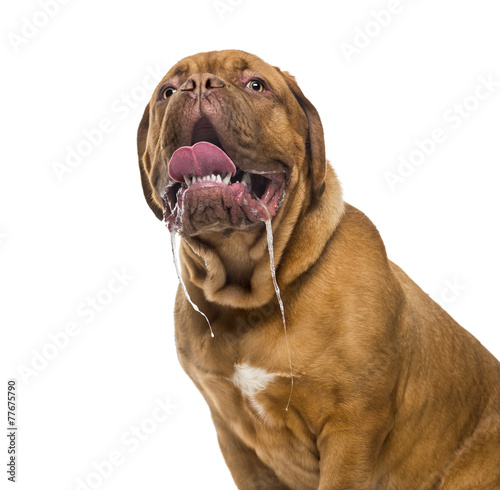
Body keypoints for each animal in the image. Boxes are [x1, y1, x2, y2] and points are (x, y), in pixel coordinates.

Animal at [137, 50, 500, 490]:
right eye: (167, 92)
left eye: (256, 85)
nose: (199, 85)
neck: (247, 295)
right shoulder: (234, 437)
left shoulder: (350, 429)